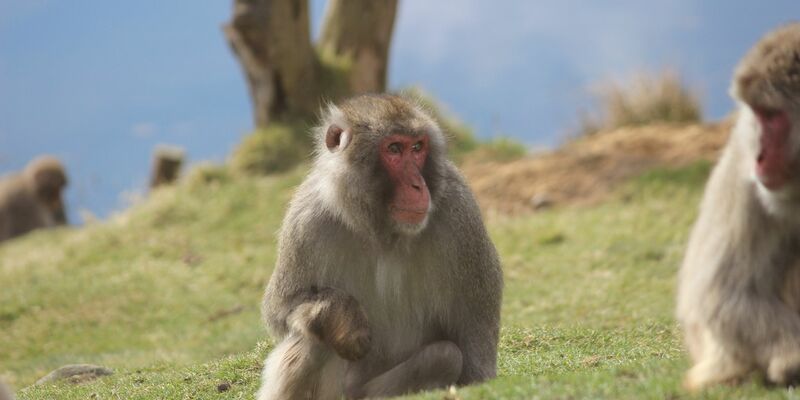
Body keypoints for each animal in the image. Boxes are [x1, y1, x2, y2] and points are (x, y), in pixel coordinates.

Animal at [255, 94, 503, 400]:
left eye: (417, 148)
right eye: (394, 149)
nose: (418, 185)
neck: (381, 229)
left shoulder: (461, 215)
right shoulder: (306, 219)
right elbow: (281, 309)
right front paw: (340, 317)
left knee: (444, 356)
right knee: (314, 338)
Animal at [676, 22, 800, 390]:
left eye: (772, 116)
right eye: (759, 115)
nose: (759, 157)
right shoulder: (743, 173)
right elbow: (724, 294)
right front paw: (794, 359)